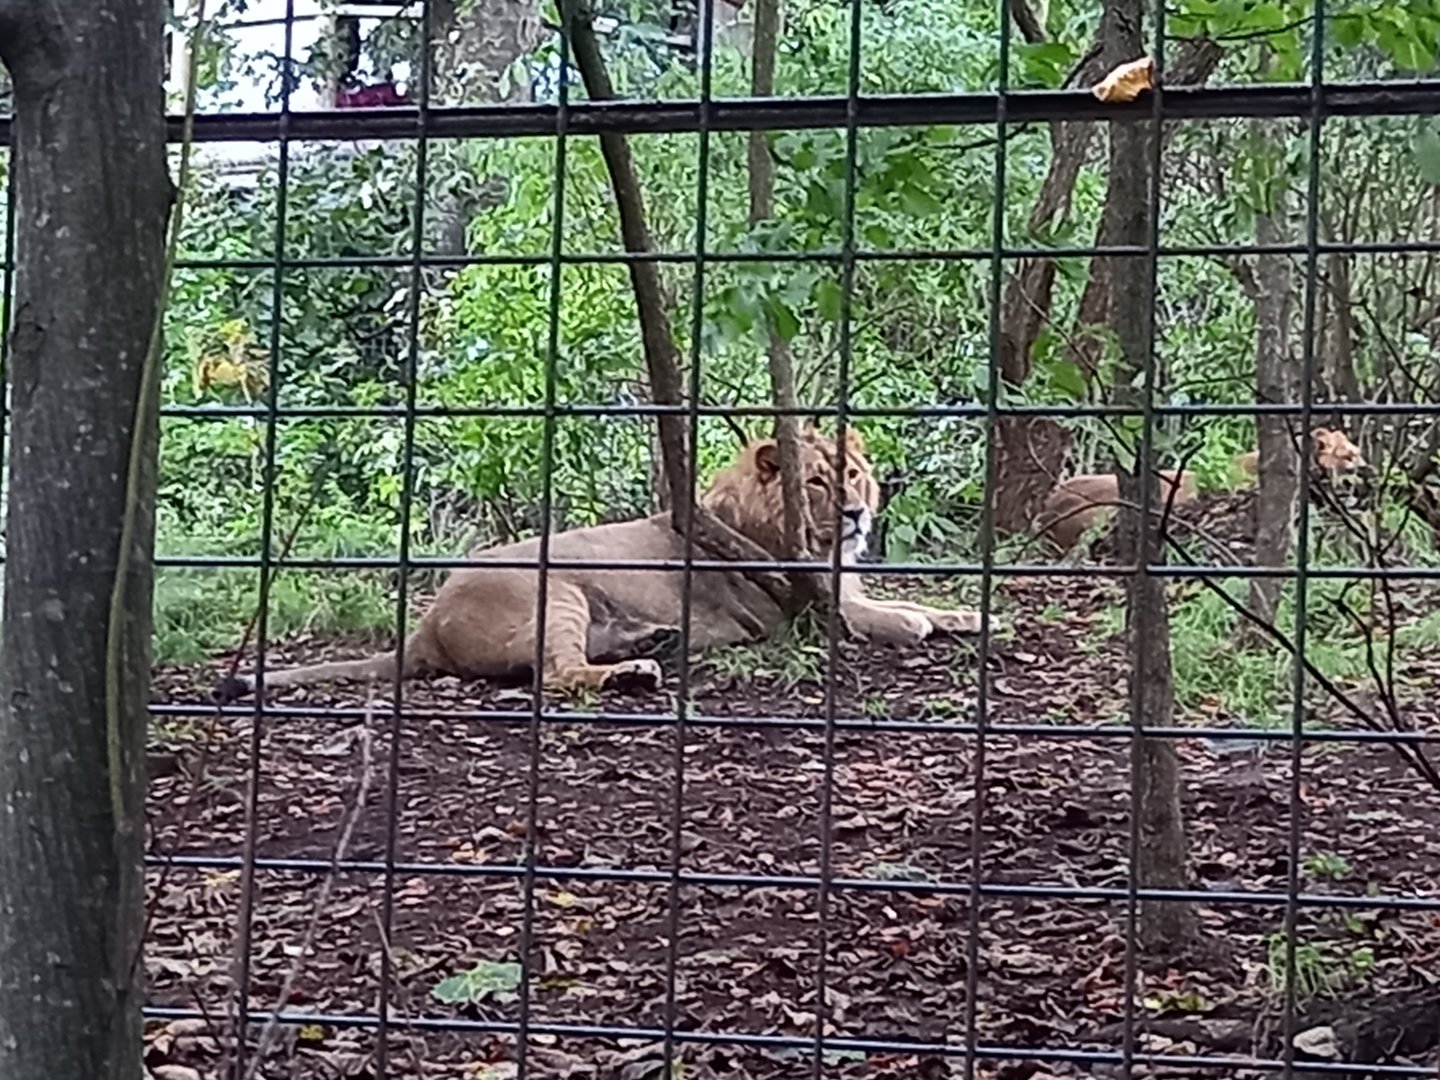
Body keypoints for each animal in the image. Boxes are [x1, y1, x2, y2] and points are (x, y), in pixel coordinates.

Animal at [216, 427, 981, 700]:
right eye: (818, 483)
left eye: (853, 475)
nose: (856, 514)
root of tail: (424, 628)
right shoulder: (825, 606)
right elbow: (889, 614)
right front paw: (919, 623)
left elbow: (921, 599)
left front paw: (969, 613)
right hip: (555, 592)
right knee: (554, 674)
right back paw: (635, 669)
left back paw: (651, 642)